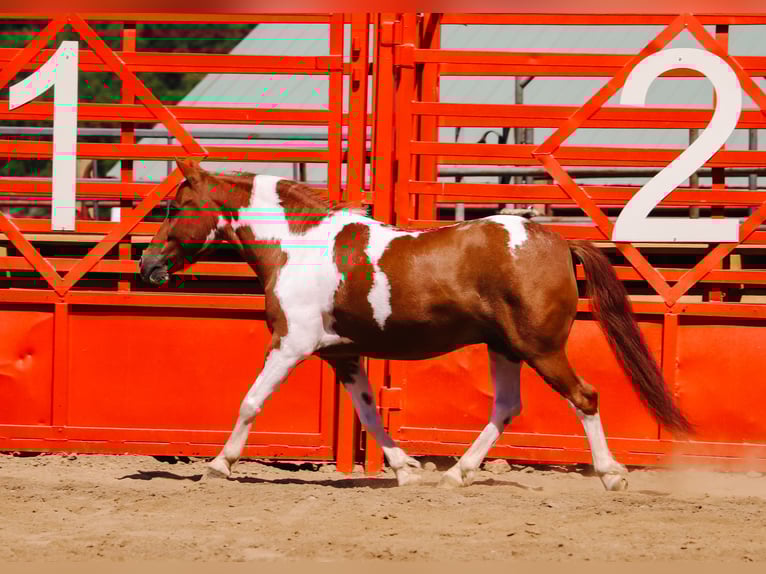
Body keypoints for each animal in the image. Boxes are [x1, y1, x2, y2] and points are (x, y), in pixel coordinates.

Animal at [139, 159, 693, 491]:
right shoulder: (342, 353)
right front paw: (406, 469)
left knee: (585, 397)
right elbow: (369, 413)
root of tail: (558, 241)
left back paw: (611, 475)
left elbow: (251, 401)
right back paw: (459, 473)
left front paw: (219, 464)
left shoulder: (291, 344)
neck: (298, 246)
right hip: (505, 348)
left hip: (541, 349)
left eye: (177, 206)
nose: (147, 263)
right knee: (507, 406)